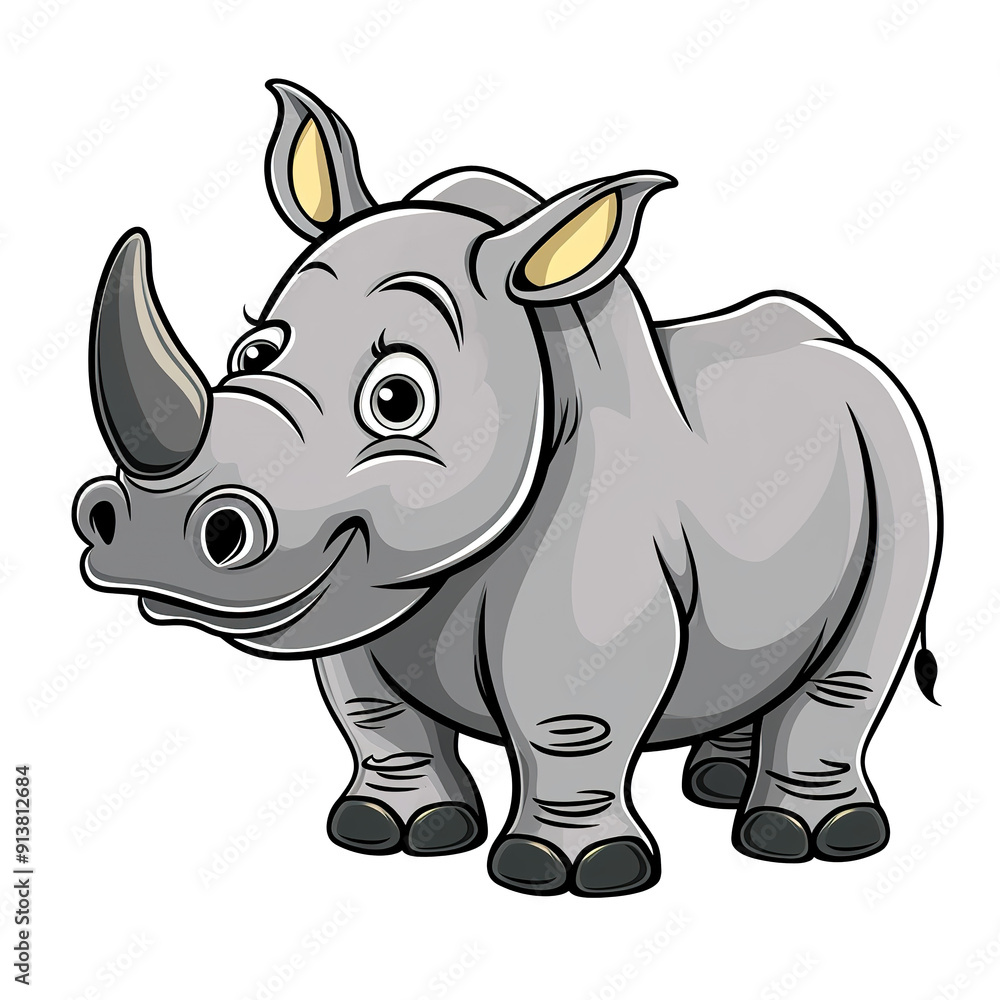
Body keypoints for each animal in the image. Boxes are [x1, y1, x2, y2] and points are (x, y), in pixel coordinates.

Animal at [73, 80, 942, 897]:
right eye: (254, 352)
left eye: (398, 399)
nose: (152, 533)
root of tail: (855, 351)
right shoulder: (354, 588)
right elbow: (375, 713)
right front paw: (391, 830)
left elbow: (569, 718)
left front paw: (571, 871)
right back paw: (720, 786)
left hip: (898, 451)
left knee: (854, 666)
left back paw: (803, 839)